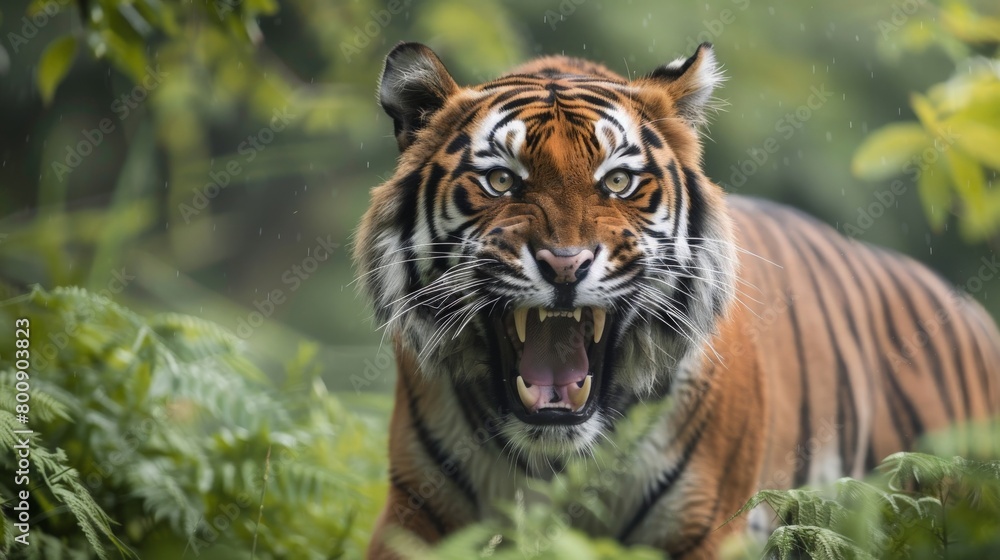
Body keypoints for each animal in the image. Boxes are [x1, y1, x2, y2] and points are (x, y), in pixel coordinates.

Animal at [353, 41, 1000, 559]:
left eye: (618, 182)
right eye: (501, 181)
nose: (565, 264)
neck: (558, 460)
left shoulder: (710, 526)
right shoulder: (415, 514)